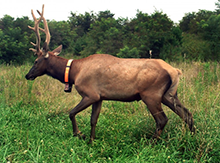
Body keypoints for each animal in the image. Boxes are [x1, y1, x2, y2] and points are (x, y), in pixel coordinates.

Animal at [24, 4, 195, 143]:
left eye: (36, 61)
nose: (27, 75)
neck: (74, 73)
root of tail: (175, 71)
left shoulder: (90, 93)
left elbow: (71, 113)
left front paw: (80, 134)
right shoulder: (99, 97)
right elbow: (93, 120)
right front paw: (91, 141)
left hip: (151, 94)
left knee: (162, 119)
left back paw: (151, 144)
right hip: (169, 95)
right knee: (187, 114)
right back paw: (192, 137)